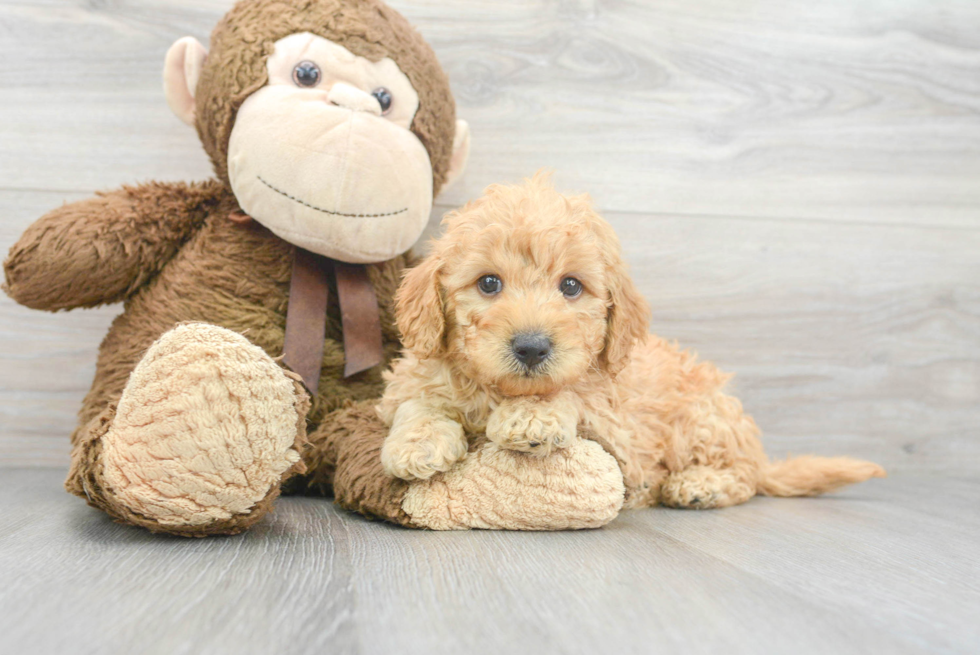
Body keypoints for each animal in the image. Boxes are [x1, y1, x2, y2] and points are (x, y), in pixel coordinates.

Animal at [378, 176, 884, 512]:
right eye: (488, 283)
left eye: (571, 286)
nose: (532, 347)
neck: (501, 390)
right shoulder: (418, 375)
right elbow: (420, 401)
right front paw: (417, 442)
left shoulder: (621, 438)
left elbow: (575, 395)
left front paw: (533, 416)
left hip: (702, 419)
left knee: (745, 476)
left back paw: (701, 485)